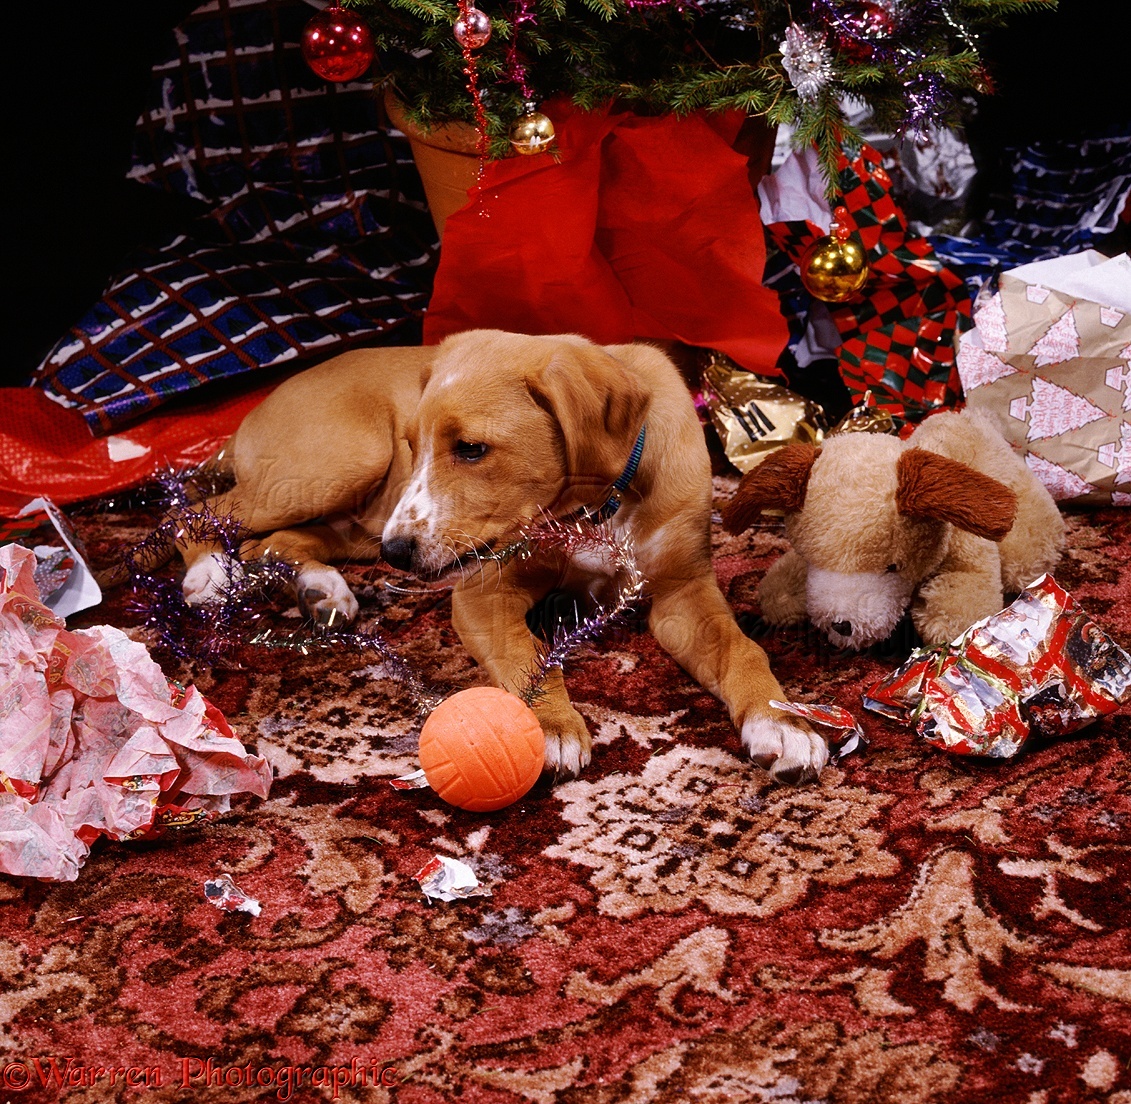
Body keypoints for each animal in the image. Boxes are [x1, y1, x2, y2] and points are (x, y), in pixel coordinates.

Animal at [183, 332, 823, 782]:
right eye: (417, 445)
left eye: (471, 449)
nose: (397, 555)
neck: (594, 512)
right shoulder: (483, 591)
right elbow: (526, 650)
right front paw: (551, 725)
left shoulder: (683, 594)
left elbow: (741, 647)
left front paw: (783, 721)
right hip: (346, 463)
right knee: (194, 510)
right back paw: (208, 577)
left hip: (357, 513)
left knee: (276, 541)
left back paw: (320, 590)